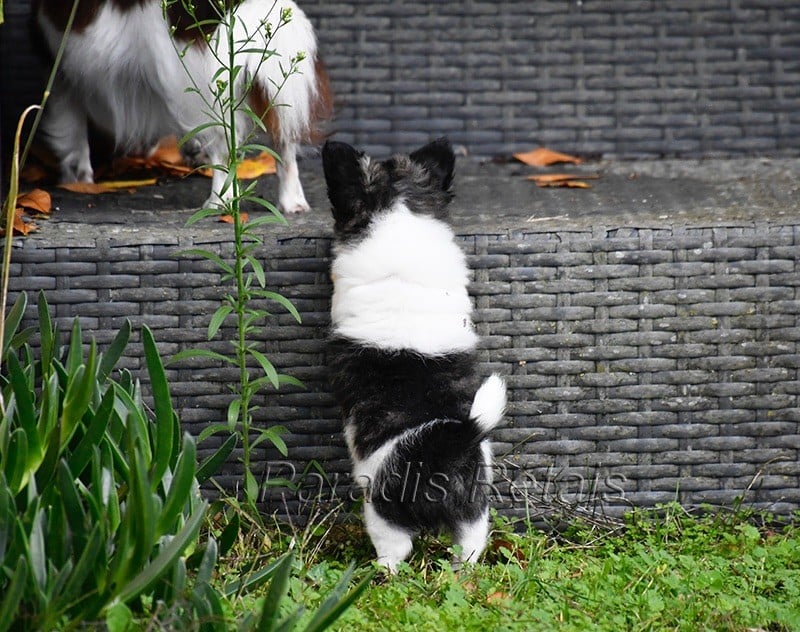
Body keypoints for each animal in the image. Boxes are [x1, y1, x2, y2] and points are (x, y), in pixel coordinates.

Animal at [33, 0, 331, 212]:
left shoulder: (62, 74)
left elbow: (72, 133)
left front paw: (76, 181)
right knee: (284, 140)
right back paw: (293, 203)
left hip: (190, 79)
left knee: (224, 143)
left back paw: (218, 203)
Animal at [323, 138, 507, 572]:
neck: (400, 214)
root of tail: (452, 438)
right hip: (474, 511)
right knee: (469, 547)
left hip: (382, 511)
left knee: (395, 550)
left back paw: (378, 572)